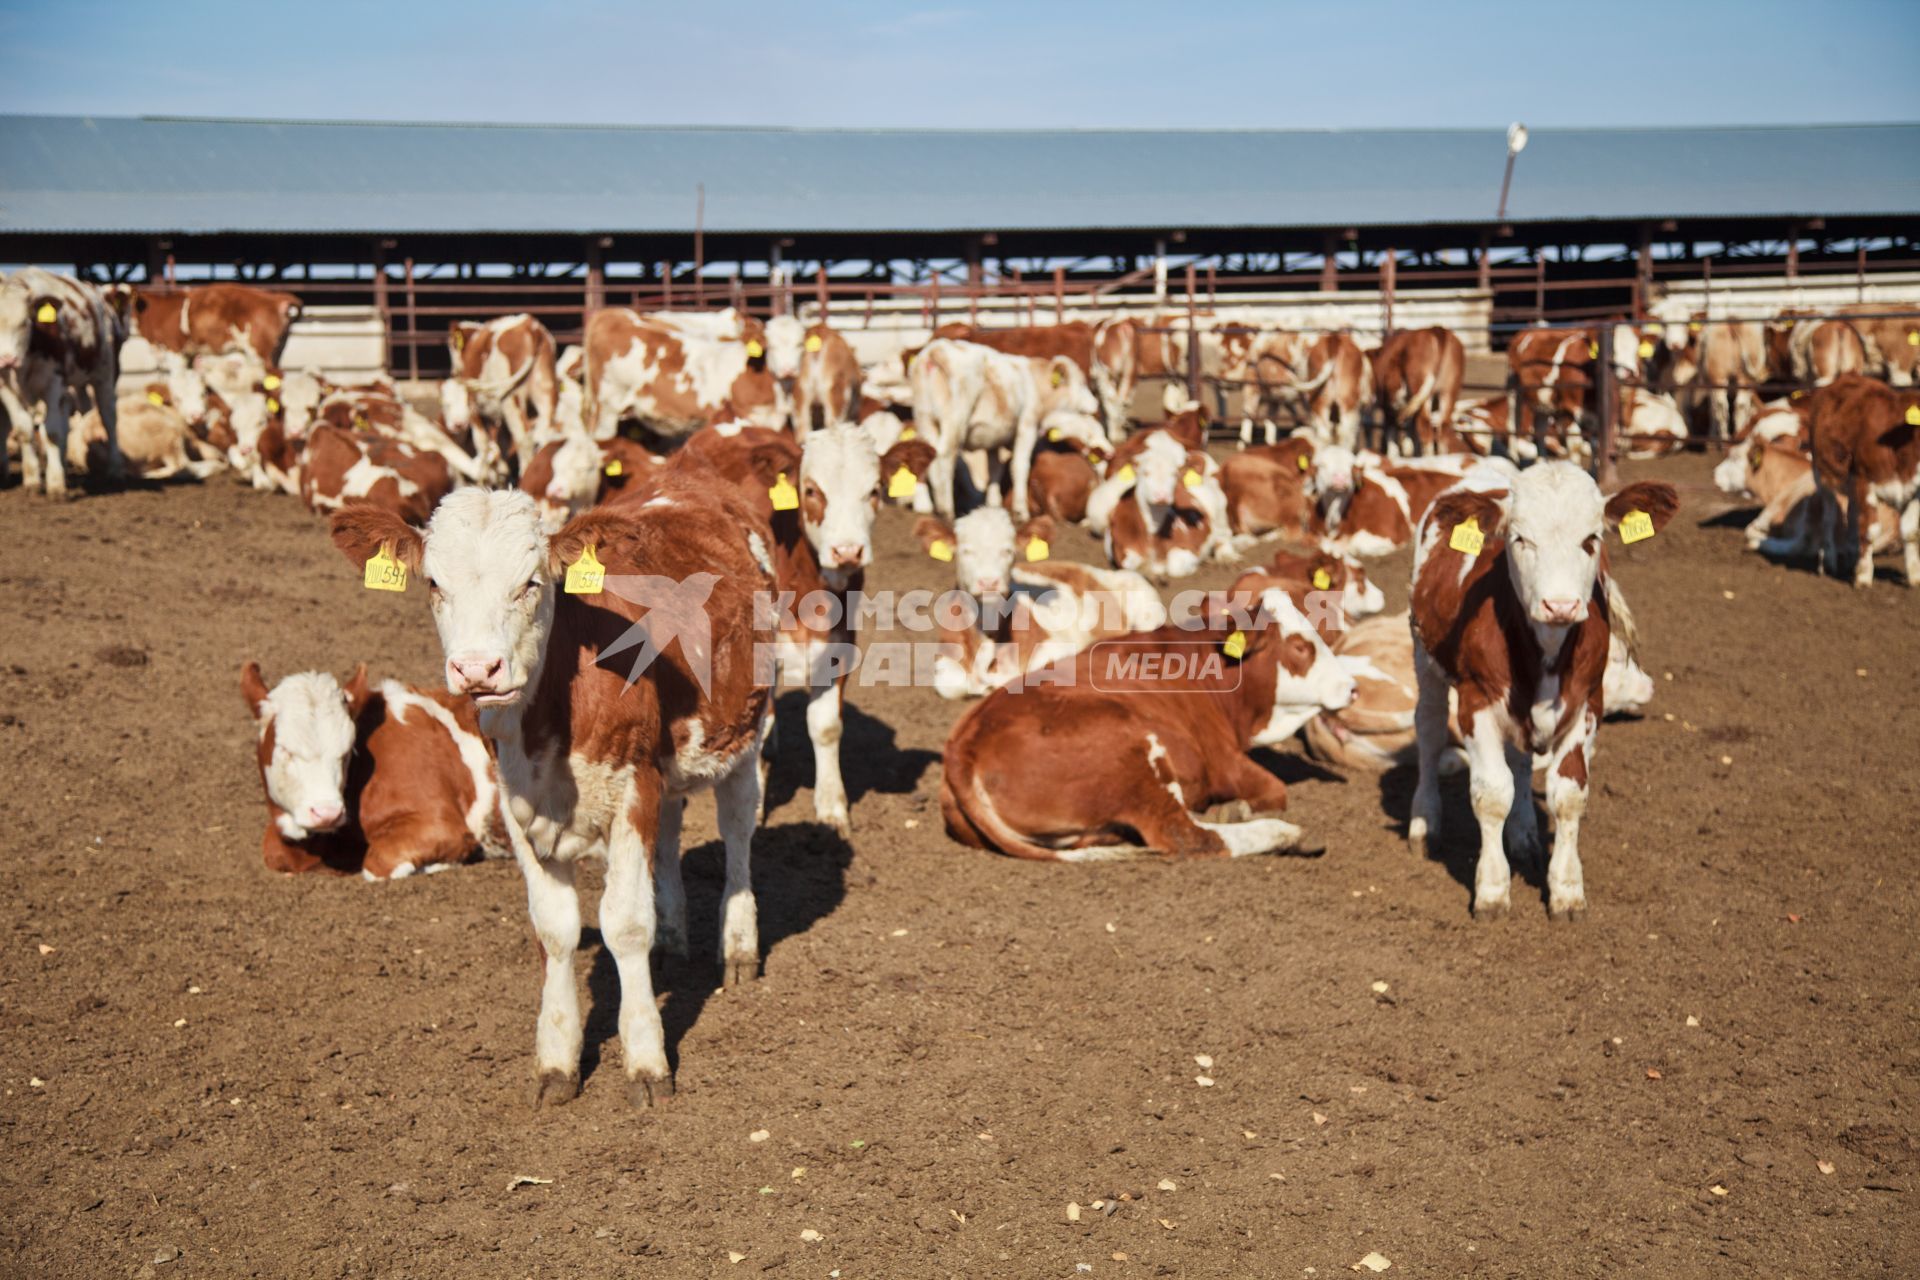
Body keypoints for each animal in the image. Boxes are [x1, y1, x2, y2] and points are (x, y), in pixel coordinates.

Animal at [332, 485, 779, 1105]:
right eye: (434, 583)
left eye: (531, 582)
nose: (478, 669)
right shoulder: (519, 800)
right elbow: (554, 929)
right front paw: (557, 1060)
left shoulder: (634, 784)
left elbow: (624, 924)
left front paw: (647, 1060)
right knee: (668, 837)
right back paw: (672, 939)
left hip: (746, 726)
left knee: (737, 829)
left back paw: (737, 947)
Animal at [447, 312, 560, 468]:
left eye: (452, 347)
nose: (453, 372)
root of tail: (530, 325)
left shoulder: (472, 406)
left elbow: (482, 443)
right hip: (545, 390)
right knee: (546, 433)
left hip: (511, 398)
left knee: (523, 437)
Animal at [940, 591, 1359, 859]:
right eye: (1301, 647)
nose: (1352, 687)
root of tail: (964, 746)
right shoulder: (1226, 762)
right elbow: (1276, 789)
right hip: (1131, 752)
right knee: (1186, 835)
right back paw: (1284, 833)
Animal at [1405, 466, 1674, 917]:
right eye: (1519, 539)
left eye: (1592, 538)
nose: (1560, 605)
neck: (1546, 647)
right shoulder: (1476, 703)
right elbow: (1491, 793)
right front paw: (1492, 890)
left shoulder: (1587, 704)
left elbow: (1568, 794)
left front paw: (1566, 889)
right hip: (1425, 659)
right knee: (1428, 732)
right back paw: (1424, 823)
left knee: (1520, 761)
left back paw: (1524, 835)